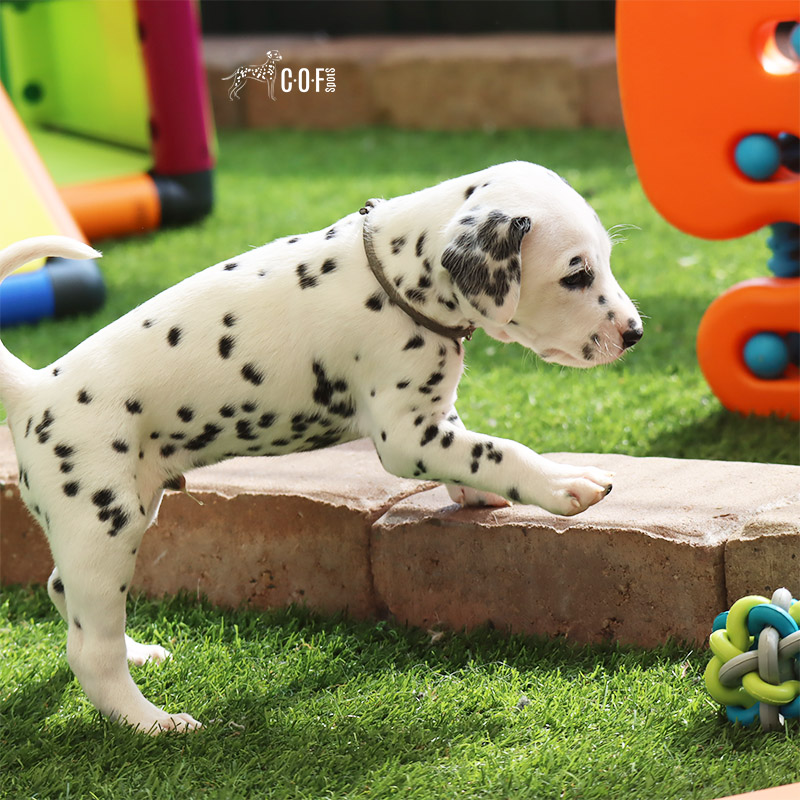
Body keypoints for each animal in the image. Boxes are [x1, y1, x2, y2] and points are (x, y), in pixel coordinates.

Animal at [0, 161, 643, 734]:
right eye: (576, 274)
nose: (635, 333)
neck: (394, 278)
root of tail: (35, 388)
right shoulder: (404, 436)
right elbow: (499, 450)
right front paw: (564, 484)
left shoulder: (430, 414)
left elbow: (469, 444)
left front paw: (471, 493)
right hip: (104, 526)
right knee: (91, 651)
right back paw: (150, 722)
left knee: (67, 597)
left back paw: (137, 653)